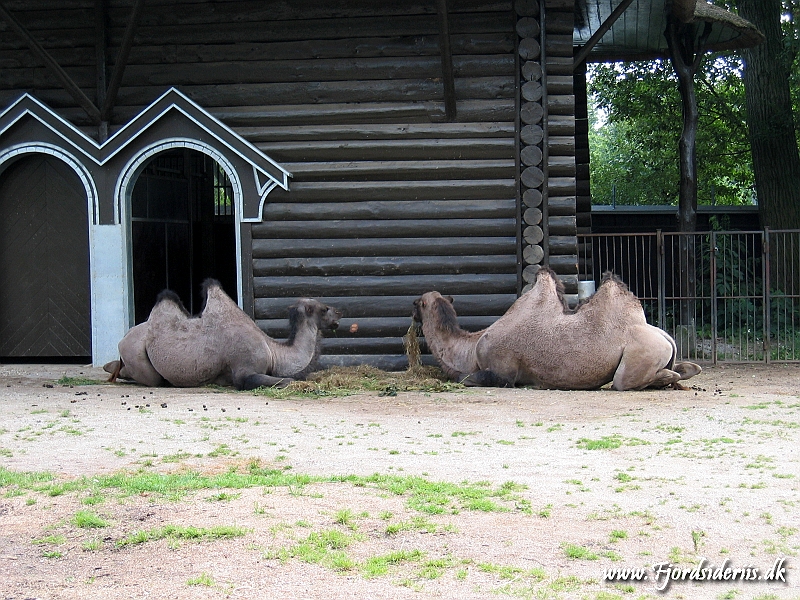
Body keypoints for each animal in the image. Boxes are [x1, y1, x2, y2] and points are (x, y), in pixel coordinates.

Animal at [104, 280, 340, 392]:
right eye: (324, 309)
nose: (339, 314)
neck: (273, 351)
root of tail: (123, 338)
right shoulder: (244, 368)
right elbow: (286, 380)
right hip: (136, 353)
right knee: (147, 377)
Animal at [412, 268, 700, 392]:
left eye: (417, 303)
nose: (411, 310)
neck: (472, 348)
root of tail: (665, 336)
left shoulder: (502, 372)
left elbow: (465, 378)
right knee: (686, 368)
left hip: (639, 355)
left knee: (625, 381)